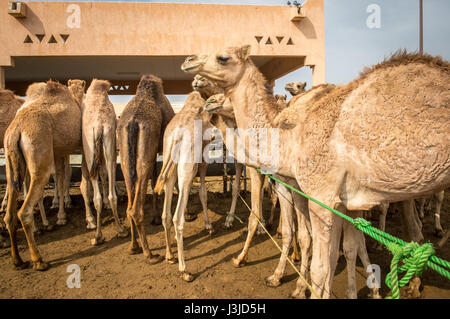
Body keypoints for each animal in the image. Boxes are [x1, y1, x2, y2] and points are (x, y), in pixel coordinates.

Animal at [3, 79, 83, 270]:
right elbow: (65, 176)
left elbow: (62, 177)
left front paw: (62, 214)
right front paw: (62, 214)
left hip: (12, 161)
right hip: (39, 154)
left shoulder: (60, 151)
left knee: (10, 214)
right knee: (24, 211)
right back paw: (38, 260)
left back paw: (18, 260)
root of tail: (16, 130)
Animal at [181, 46, 448, 298]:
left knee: (413, 227)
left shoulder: (311, 193)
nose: (189, 63)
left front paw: (269, 271)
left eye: (223, 57)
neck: (290, 138)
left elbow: (309, 248)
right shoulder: (336, 201)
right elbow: (340, 247)